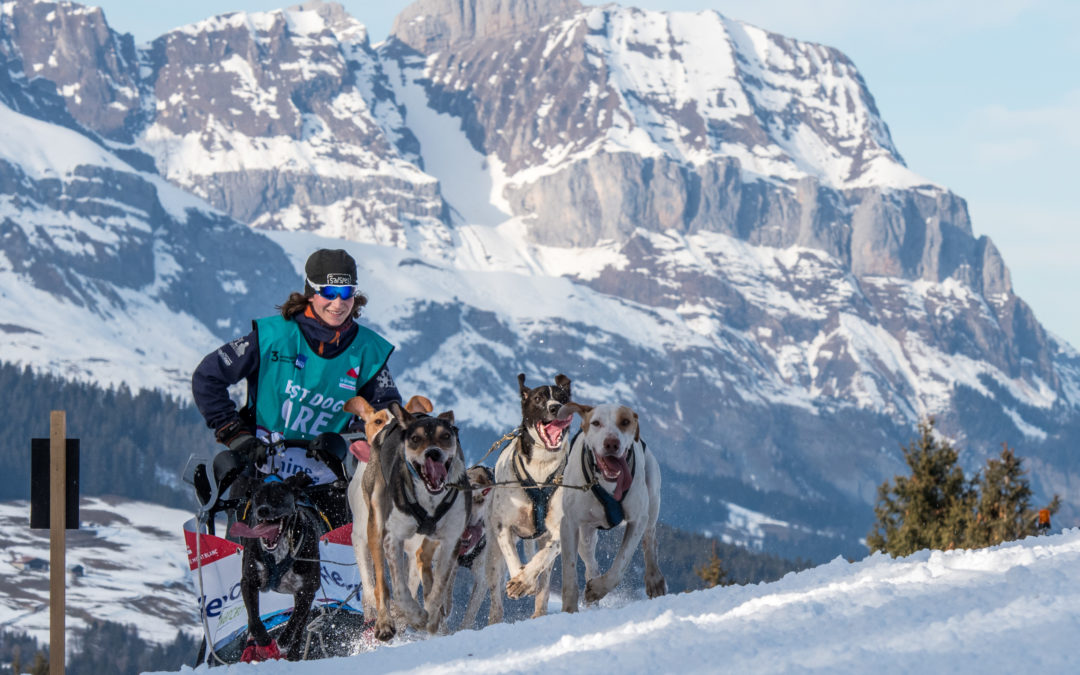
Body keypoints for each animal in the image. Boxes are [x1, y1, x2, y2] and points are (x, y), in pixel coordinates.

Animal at [228, 470, 321, 660]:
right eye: (257, 497)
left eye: (279, 497)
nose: (263, 509)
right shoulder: (248, 582)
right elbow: (254, 621)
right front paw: (264, 642)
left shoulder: (307, 591)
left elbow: (294, 622)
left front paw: (282, 642)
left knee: (300, 626)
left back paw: (292, 653)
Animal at [507, 401, 665, 613]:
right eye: (596, 423)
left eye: (625, 422)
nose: (611, 443)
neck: (606, 482)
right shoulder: (569, 523)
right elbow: (569, 571)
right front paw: (570, 609)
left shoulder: (636, 520)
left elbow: (620, 565)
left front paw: (598, 589)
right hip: (586, 534)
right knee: (591, 562)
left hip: (652, 496)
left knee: (650, 538)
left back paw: (653, 579)